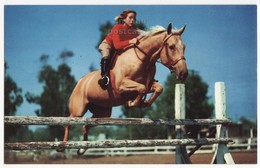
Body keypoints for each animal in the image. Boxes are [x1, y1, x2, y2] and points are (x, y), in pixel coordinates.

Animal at [57, 23, 187, 154]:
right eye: (171, 47)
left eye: (184, 47)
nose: (183, 74)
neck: (142, 59)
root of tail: (81, 81)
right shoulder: (121, 86)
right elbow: (142, 88)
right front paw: (132, 102)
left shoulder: (149, 84)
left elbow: (157, 88)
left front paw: (144, 102)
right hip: (78, 111)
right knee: (68, 123)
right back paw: (62, 146)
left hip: (103, 113)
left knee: (86, 125)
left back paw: (82, 148)